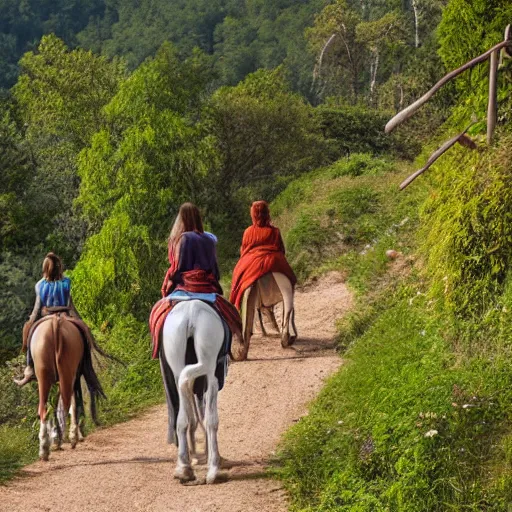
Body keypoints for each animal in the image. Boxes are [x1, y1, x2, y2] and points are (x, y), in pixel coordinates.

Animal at [160, 300, 224, 484]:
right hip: (208, 360)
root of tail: (191, 311)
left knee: (182, 414)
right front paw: (212, 463)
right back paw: (210, 469)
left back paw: (184, 467)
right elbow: (210, 419)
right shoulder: (214, 376)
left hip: (175, 350)